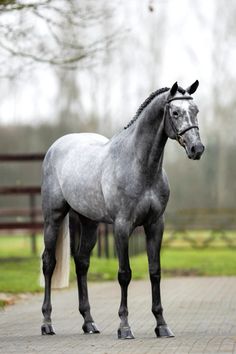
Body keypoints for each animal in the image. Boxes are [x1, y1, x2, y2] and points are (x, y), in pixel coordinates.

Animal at [41, 80, 205, 338]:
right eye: (175, 113)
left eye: (195, 110)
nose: (197, 148)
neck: (140, 166)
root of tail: (56, 147)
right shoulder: (122, 226)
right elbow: (124, 274)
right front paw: (124, 327)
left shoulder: (155, 225)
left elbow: (155, 271)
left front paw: (162, 325)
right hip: (53, 217)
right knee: (49, 262)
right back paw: (47, 323)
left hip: (89, 222)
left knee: (82, 262)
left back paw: (89, 323)